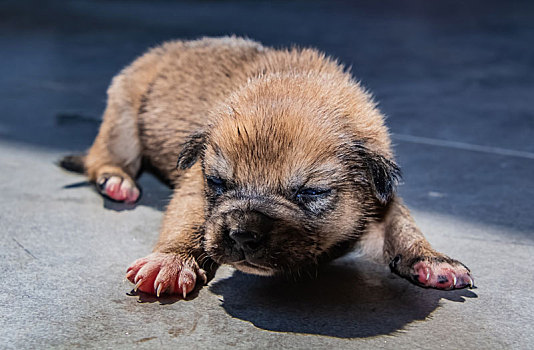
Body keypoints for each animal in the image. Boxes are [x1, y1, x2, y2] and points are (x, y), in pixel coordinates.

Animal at [60, 36, 476, 298]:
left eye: (310, 193)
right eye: (218, 183)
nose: (243, 235)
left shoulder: (381, 198)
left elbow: (403, 226)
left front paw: (432, 260)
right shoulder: (194, 182)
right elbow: (188, 219)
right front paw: (171, 260)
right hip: (124, 116)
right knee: (103, 157)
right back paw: (116, 181)